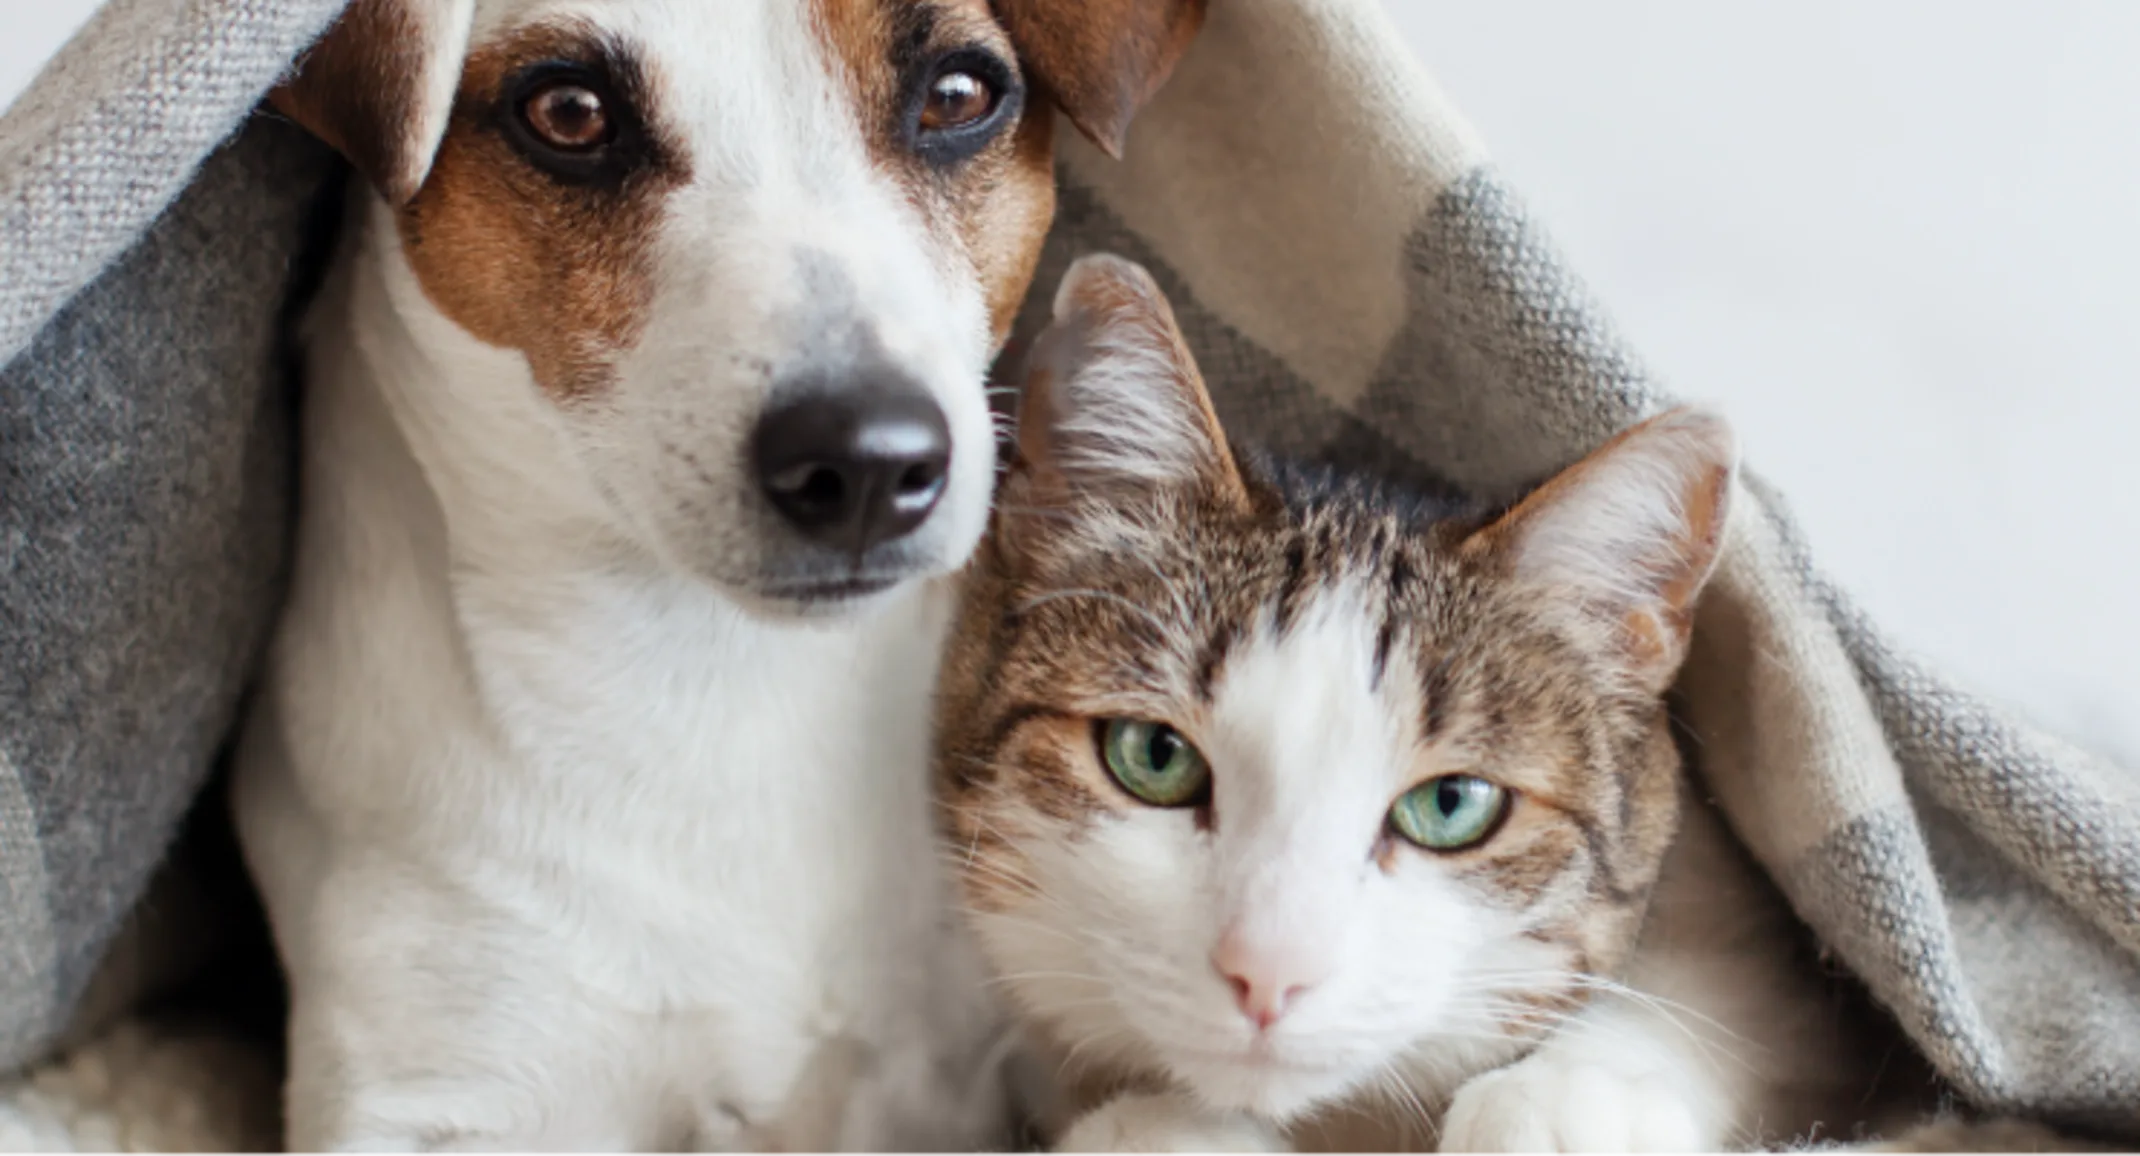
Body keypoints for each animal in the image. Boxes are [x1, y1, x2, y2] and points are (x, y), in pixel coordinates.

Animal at [933, 254, 1926, 1156]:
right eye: (1153, 755)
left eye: (1452, 805)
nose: (1269, 973)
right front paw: (1160, 1129)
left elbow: (1733, 994)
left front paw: (1565, 1100)